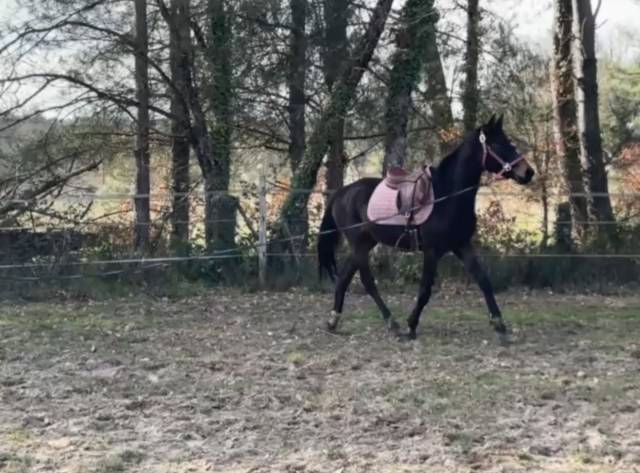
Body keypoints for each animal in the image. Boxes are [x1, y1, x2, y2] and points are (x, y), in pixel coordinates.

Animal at [317, 115, 535, 340]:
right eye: (498, 144)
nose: (528, 172)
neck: (447, 195)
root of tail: (342, 192)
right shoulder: (432, 251)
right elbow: (425, 290)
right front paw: (411, 325)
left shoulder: (462, 245)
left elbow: (483, 280)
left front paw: (499, 323)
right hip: (359, 244)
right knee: (367, 281)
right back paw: (391, 322)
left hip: (366, 242)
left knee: (344, 277)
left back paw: (333, 321)